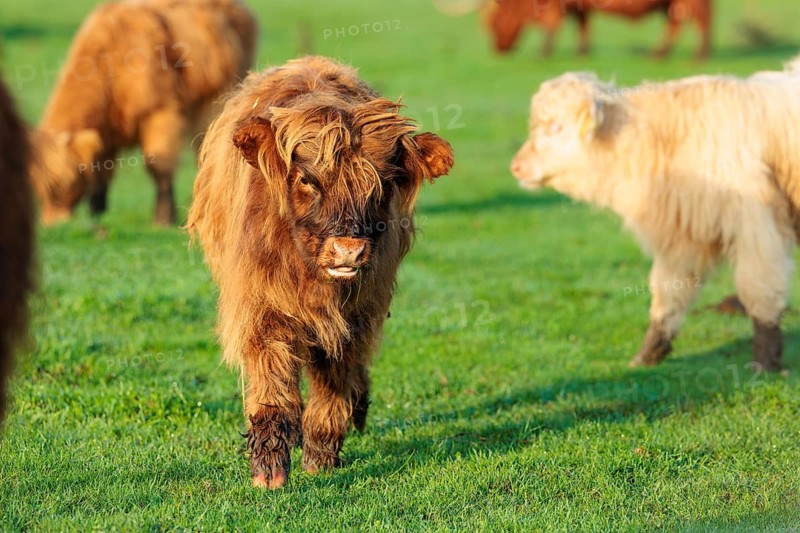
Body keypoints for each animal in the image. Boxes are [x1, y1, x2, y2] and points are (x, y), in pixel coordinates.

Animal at [187, 56, 455, 488]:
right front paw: (269, 472)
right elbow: (272, 388)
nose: (348, 249)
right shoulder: (262, 310)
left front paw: (320, 458)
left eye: (383, 184)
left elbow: (333, 384)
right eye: (306, 180)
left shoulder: (357, 318)